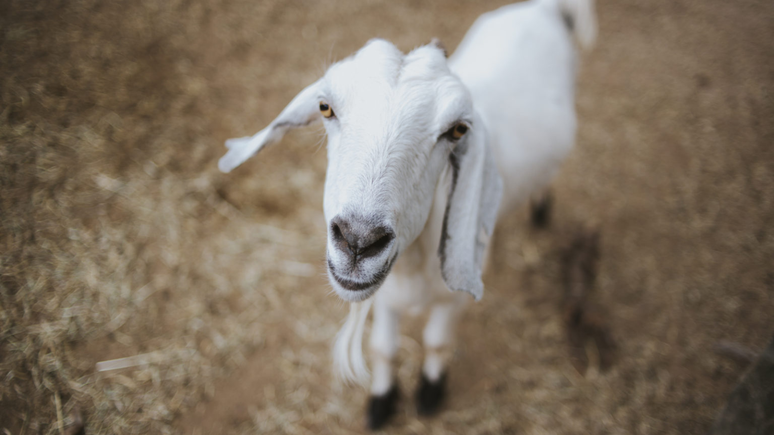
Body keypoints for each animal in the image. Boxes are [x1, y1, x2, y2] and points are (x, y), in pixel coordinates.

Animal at [221, 0, 596, 430]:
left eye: (456, 130)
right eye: (325, 107)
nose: (358, 240)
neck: (415, 267)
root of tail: (546, 8)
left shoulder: (451, 301)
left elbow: (436, 341)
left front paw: (431, 393)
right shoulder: (385, 294)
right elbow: (384, 348)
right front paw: (381, 402)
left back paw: (541, 208)